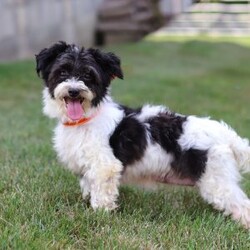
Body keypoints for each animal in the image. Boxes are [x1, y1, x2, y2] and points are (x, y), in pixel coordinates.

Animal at [36, 41, 250, 229]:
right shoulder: (88, 168)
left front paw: (100, 216)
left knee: (242, 205)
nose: (74, 91)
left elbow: (102, 194)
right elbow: (89, 187)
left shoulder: (105, 167)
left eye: (88, 75)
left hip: (217, 180)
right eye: (62, 72)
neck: (86, 118)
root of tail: (227, 135)